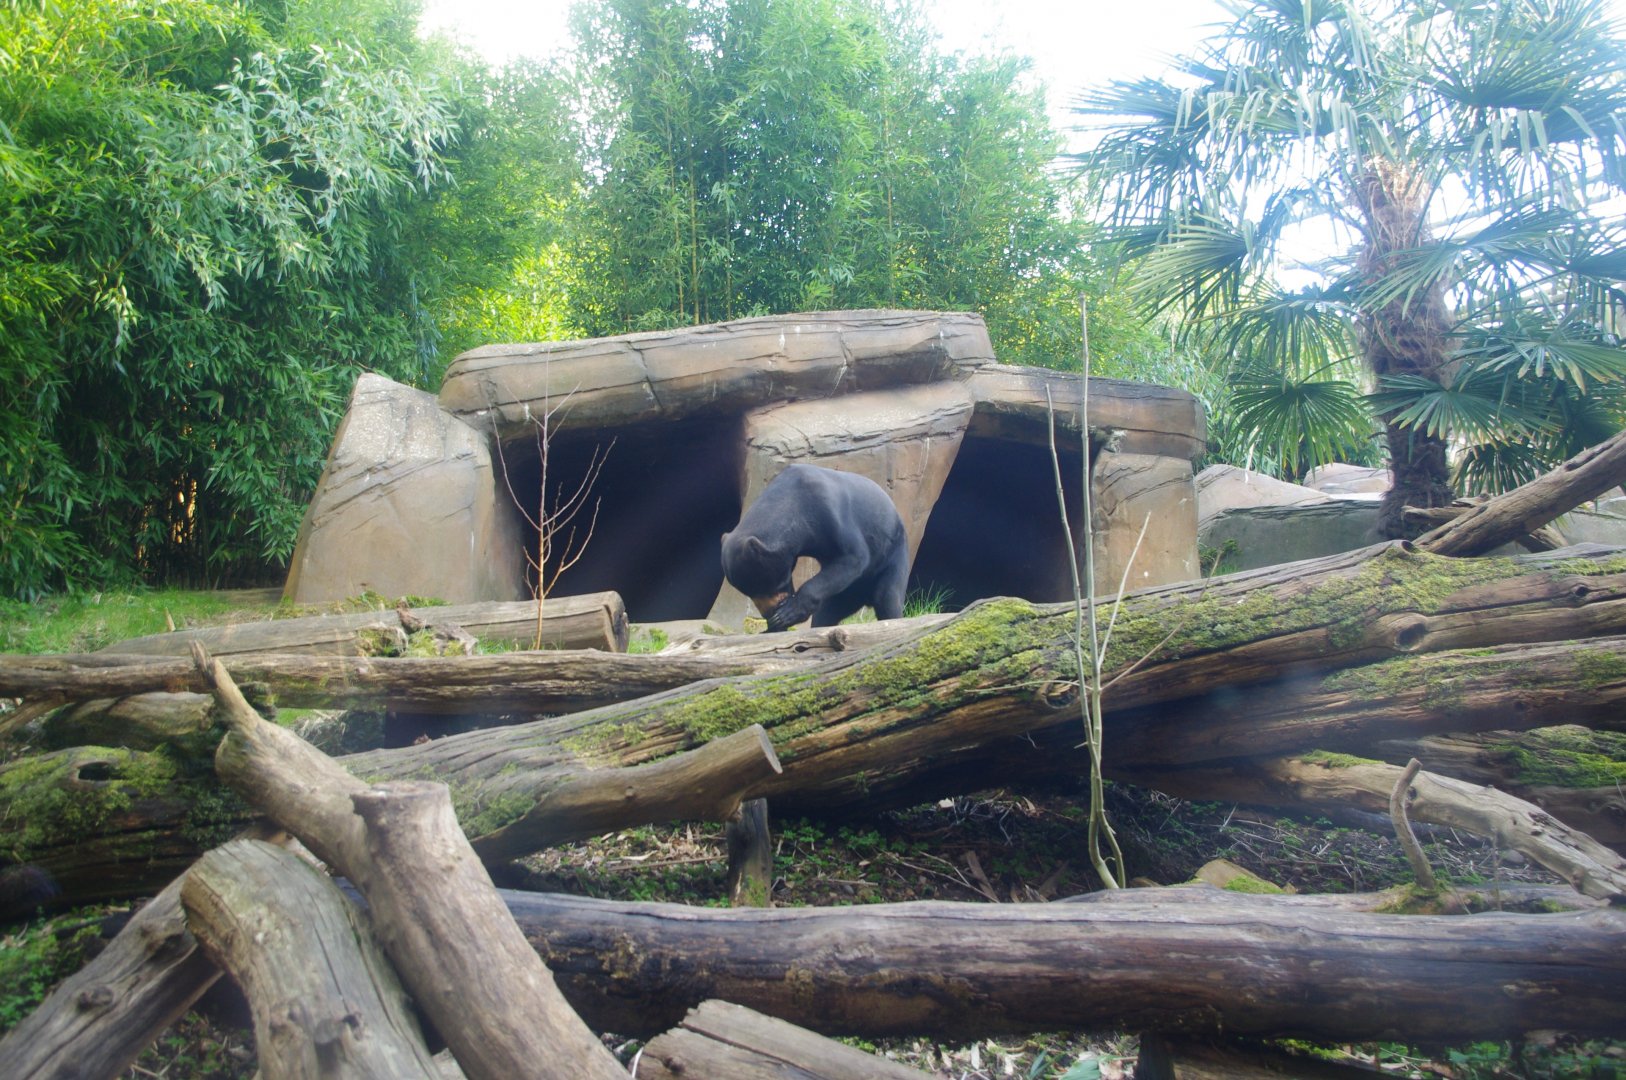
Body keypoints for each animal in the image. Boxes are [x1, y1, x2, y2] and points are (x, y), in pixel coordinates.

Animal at [721, 464, 910, 632]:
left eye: (773, 585)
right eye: (750, 594)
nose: (769, 613)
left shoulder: (830, 514)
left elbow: (855, 557)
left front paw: (786, 614)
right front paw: (776, 623)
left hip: (893, 553)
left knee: (887, 597)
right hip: (845, 592)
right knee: (827, 612)